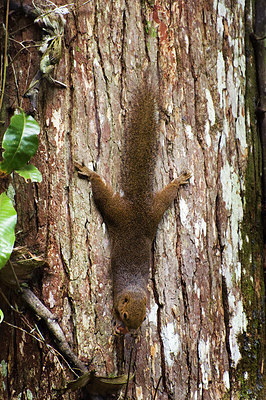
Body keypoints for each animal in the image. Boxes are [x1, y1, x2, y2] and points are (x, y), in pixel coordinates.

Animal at [75, 82, 191, 332]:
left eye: (144, 319)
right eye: (126, 315)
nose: (130, 330)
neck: (134, 287)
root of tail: (138, 205)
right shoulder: (116, 294)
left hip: (154, 211)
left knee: (167, 195)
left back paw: (177, 182)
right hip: (118, 210)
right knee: (102, 193)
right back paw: (90, 173)